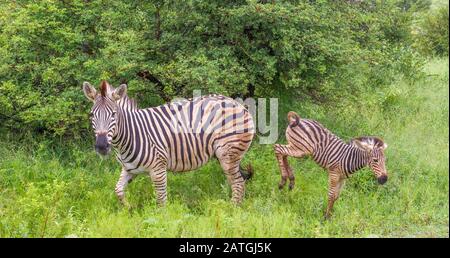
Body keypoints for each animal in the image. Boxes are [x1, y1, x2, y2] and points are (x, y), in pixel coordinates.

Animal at [82, 80, 255, 206]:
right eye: (91, 115)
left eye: (113, 114)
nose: (101, 146)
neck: (130, 136)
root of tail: (237, 103)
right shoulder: (129, 169)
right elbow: (118, 190)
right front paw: (128, 208)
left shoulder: (158, 169)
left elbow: (161, 201)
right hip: (225, 155)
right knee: (236, 182)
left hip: (228, 153)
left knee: (238, 183)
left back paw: (231, 212)